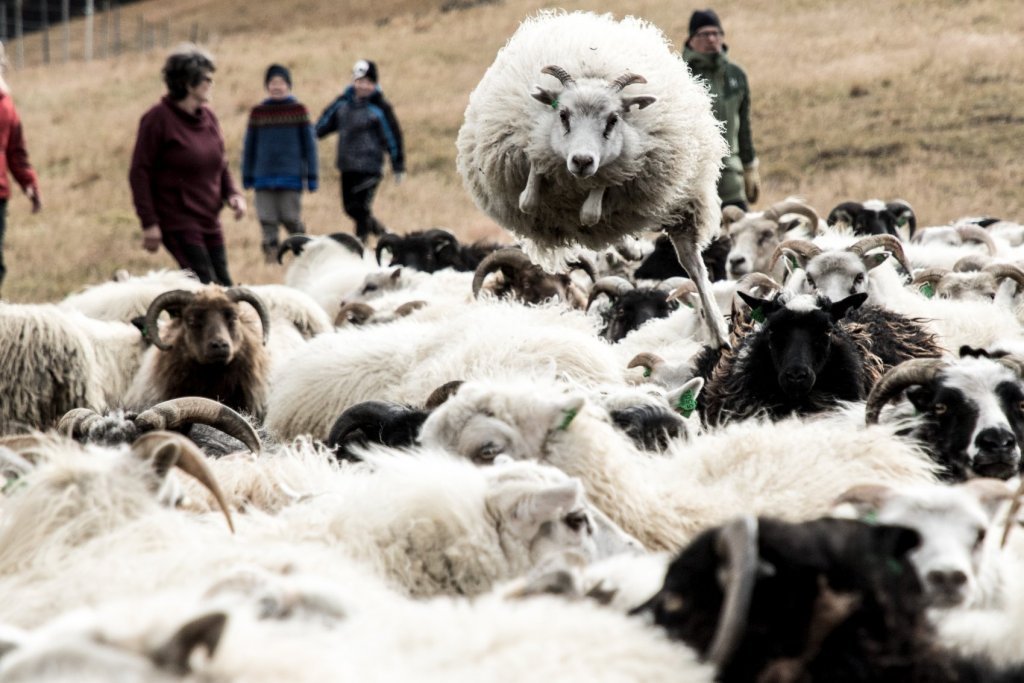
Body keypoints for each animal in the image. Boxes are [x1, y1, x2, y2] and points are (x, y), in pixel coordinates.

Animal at [456, 10, 733, 348]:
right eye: (562, 115)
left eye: (614, 119)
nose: (582, 161)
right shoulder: (532, 146)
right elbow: (529, 197)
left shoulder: (623, 171)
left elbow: (595, 205)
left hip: (682, 202)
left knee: (693, 266)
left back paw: (718, 330)